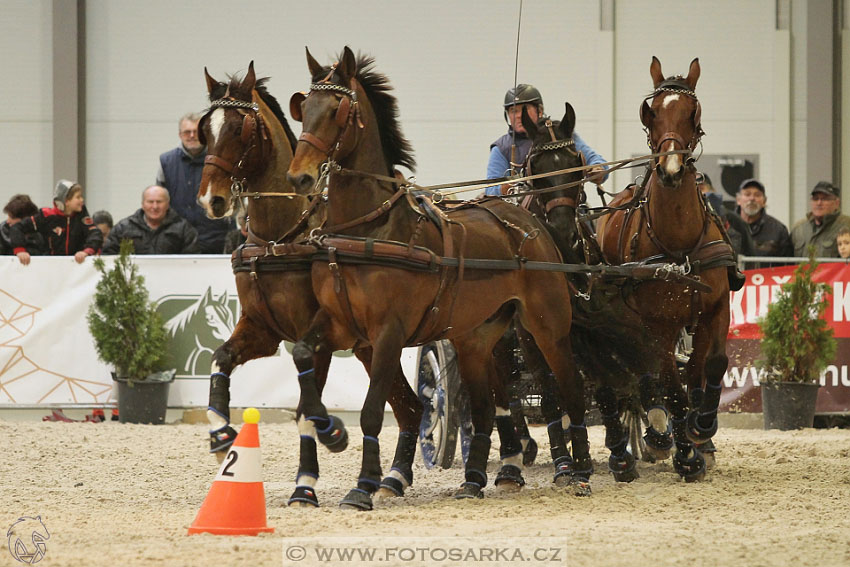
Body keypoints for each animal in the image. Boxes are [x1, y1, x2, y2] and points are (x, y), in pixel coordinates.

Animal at [191, 64, 418, 508]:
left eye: (240, 128)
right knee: (411, 407)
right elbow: (219, 359)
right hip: (370, 347)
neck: (278, 235)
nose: (211, 200)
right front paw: (221, 433)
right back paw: (393, 478)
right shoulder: (261, 329)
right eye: (204, 130)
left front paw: (310, 476)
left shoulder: (318, 336)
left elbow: (304, 410)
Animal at [284, 47, 588, 510]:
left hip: (546, 329)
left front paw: (363, 486)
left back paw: (579, 472)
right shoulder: (338, 324)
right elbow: (303, 360)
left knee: (568, 391)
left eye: (337, 109)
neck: (368, 228)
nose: (299, 176)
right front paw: (328, 438)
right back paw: (475, 480)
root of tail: (531, 223)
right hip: (475, 338)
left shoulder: (388, 332)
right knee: (485, 407)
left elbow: (373, 411)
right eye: (305, 108)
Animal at [592, 56, 732, 480]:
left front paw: (703, 428)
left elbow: (711, 366)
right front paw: (687, 455)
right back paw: (656, 435)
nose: (670, 170)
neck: (679, 243)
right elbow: (671, 386)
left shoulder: (715, 308)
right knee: (648, 377)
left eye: (692, 111)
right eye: (650, 112)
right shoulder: (658, 324)